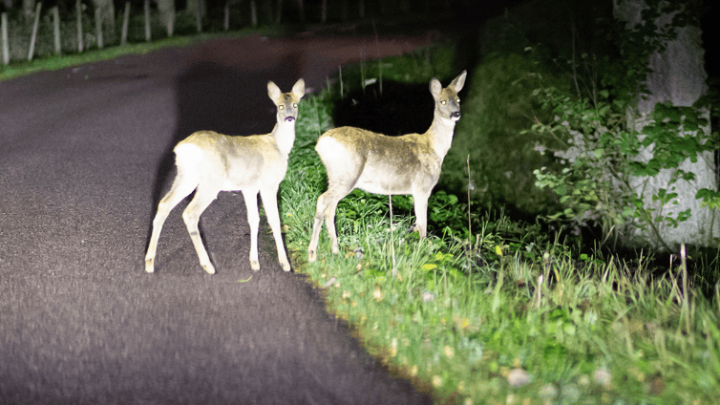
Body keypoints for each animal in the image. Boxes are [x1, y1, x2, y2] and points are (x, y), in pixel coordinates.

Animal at [145, 78, 305, 274]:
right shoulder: (269, 184)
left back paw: (149, 263)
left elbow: (254, 219)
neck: (278, 146)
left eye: (296, 104)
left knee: (163, 204)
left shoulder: (249, 187)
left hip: (186, 176)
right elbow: (274, 220)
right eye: (280, 106)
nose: (290, 118)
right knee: (190, 213)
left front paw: (254, 262)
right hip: (210, 181)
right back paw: (208, 265)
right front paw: (285, 264)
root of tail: (183, 148)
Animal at [308, 70, 467, 263]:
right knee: (323, 200)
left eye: (458, 99)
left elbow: (418, 223)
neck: (434, 147)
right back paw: (312, 254)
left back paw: (335, 250)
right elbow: (422, 224)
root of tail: (321, 143)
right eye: (442, 101)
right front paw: (423, 253)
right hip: (347, 175)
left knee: (330, 208)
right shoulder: (422, 187)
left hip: (336, 176)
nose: (456, 113)